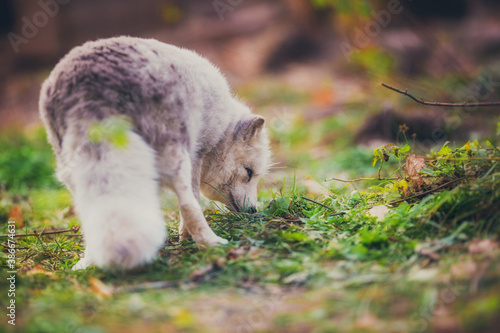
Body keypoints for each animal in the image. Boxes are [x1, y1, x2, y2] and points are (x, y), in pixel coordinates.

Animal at [38, 36, 270, 270]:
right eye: (249, 173)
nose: (253, 211)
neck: (221, 128)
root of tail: (92, 89)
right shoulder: (196, 156)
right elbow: (193, 201)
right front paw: (186, 237)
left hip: (70, 171)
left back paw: (89, 261)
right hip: (175, 157)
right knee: (188, 204)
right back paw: (211, 243)